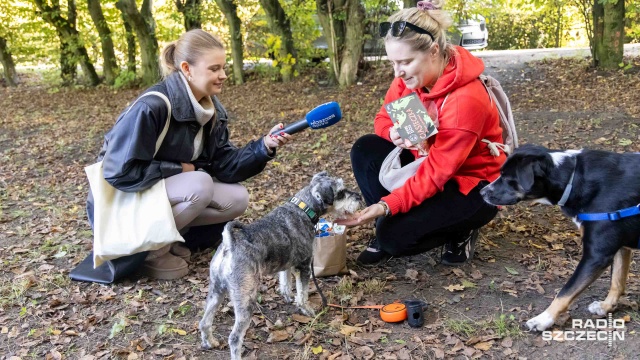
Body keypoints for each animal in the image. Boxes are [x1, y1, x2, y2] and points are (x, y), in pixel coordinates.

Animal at [198, 171, 362, 358]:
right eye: (340, 192)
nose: (359, 197)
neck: (303, 209)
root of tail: (228, 244)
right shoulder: (304, 266)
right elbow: (303, 292)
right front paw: (307, 310)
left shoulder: (287, 264)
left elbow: (286, 282)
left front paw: (288, 296)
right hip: (245, 298)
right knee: (234, 337)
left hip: (216, 291)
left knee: (204, 321)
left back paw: (209, 342)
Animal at [480, 143, 640, 332]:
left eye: (507, 177)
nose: (481, 192)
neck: (573, 178)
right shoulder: (620, 247)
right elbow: (617, 281)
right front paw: (606, 306)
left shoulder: (597, 255)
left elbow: (565, 292)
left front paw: (543, 319)